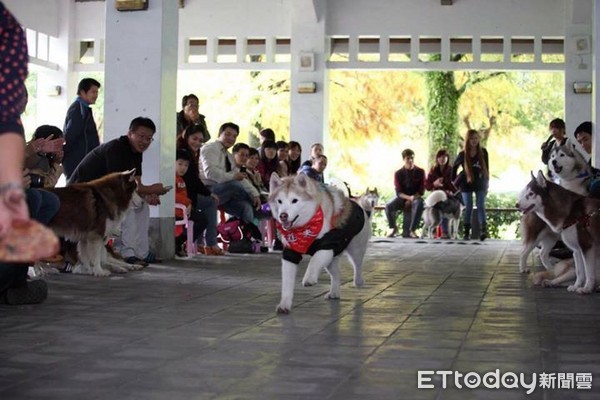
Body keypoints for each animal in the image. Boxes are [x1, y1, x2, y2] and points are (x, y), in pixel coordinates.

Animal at [268, 173, 370, 314]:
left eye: (295, 200)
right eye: (279, 201)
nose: (283, 215)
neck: (305, 227)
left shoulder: (326, 245)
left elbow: (314, 261)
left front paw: (309, 278)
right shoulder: (290, 253)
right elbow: (287, 282)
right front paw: (285, 304)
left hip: (356, 248)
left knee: (358, 265)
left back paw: (358, 281)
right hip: (332, 259)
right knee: (336, 274)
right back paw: (334, 292)